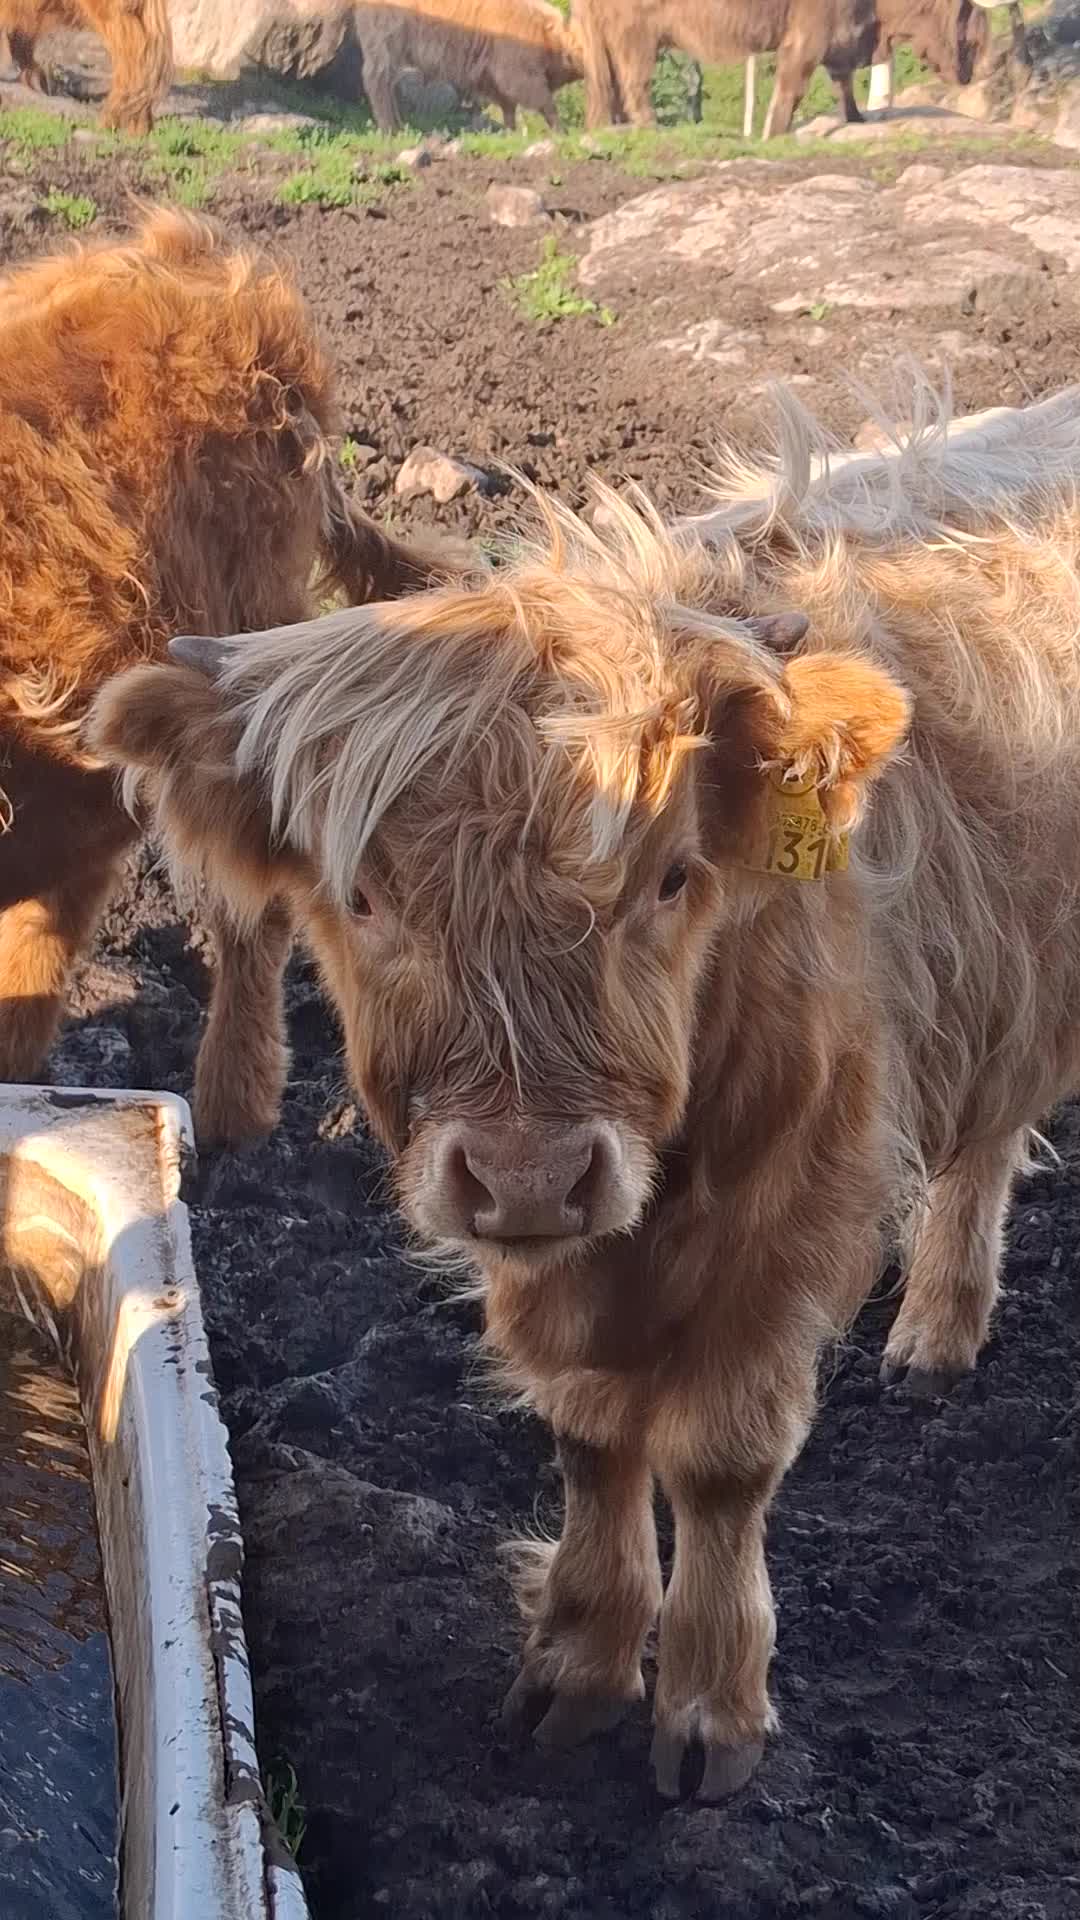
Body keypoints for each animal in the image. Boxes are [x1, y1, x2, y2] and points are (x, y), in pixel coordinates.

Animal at [89, 375, 1080, 1794]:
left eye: (672, 875)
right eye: (364, 895)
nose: (529, 1172)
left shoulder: (795, 1201)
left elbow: (721, 1460)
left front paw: (711, 1716)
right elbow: (592, 1436)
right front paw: (579, 1661)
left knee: (989, 1141)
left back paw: (937, 1329)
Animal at [353, 0, 582, 131]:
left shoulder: (491, 74)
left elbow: (508, 105)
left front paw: (511, 131)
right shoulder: (516, 70)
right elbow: (544, 101)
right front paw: (561, 132)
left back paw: (398, 124)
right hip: (387, 33)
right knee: (377, 78)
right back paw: (390, 127)